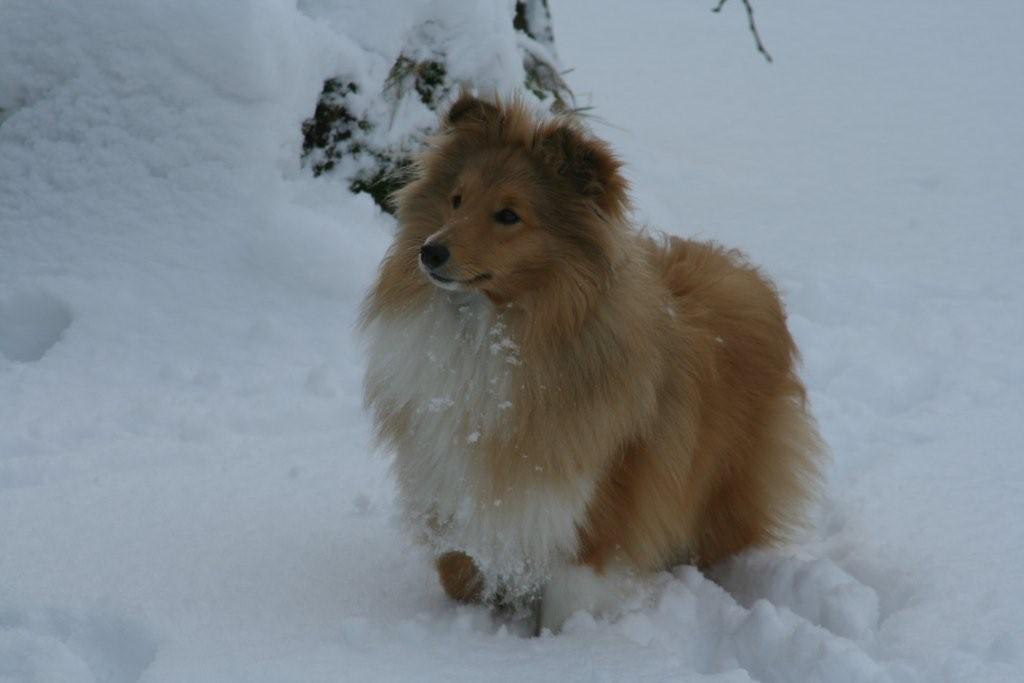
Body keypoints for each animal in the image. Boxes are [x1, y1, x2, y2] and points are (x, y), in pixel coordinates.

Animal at [361, 94, 823, 632]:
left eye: (508, 215)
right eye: (456, 199)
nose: (430, 252)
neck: (493, 330)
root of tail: (743, 274)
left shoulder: (594, 506)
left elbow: (569, 601)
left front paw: (562, 642)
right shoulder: (452, 484)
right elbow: (457, 566)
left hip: (725, 485)